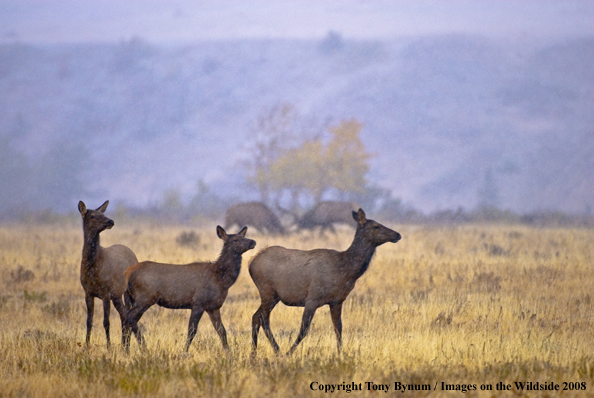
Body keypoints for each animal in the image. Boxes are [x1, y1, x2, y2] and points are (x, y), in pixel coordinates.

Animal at [77, 201, 139, 346]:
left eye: (103, 213)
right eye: (92, 216)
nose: (111, 221)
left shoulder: (106, 292)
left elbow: (106, 322)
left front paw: (109, 346)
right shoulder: (88, 292)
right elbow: (89, 321)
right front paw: (86, 346)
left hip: (126, 291)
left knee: (127, 316)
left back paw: (126, 344)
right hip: (117, 295)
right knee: (124, 315)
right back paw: (125, 344)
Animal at [122, 225, 254, 352]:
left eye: (243, 236)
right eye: (236, 239)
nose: (253, 241)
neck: (221, 280)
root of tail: (128, 273)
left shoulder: (213, 306)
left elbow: (221, 330)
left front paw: (228, 352)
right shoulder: (198, 303)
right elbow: (192, 331)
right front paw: (184, 352)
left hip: (134, 299)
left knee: (127, 319)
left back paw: (126, 348)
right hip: (144, 298)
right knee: (129, 317)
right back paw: (143, 347)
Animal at [247, 208, 400, 354]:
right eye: (376, 226)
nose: (398, 234)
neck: (346, 270)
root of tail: (251, 262)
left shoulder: (337, 301)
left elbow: (338, 329)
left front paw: (340, 354)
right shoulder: (312, 298)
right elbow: (304, 330)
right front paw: (289, 353)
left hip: (274, 296)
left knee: (256, 317)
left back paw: (254, 353)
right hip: (267, 290)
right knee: (264, 319)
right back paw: (277, 351)